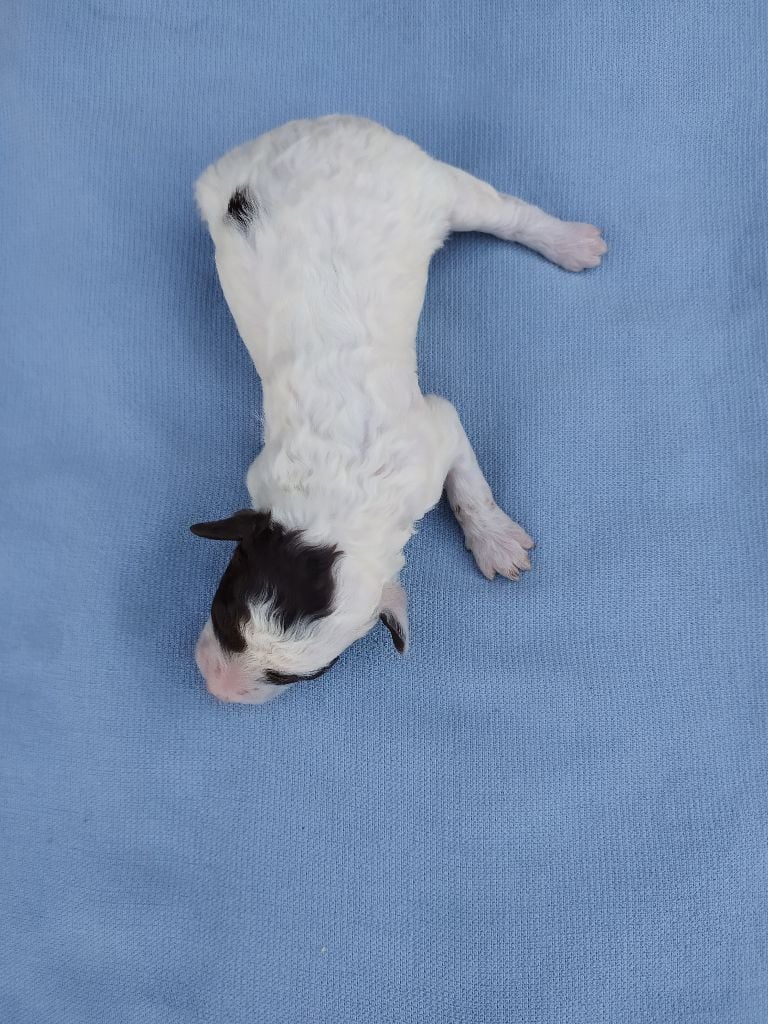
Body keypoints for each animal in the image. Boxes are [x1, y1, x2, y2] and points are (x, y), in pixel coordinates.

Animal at [191, 116, 607, 703]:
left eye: (299, 677)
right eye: (223, 614)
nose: (215, 687)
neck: (337, 495)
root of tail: (318, 131)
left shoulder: (437, 430)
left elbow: (469, 488)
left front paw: (495, 542)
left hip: (436, 187)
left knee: (506, 211)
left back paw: (569, 242)